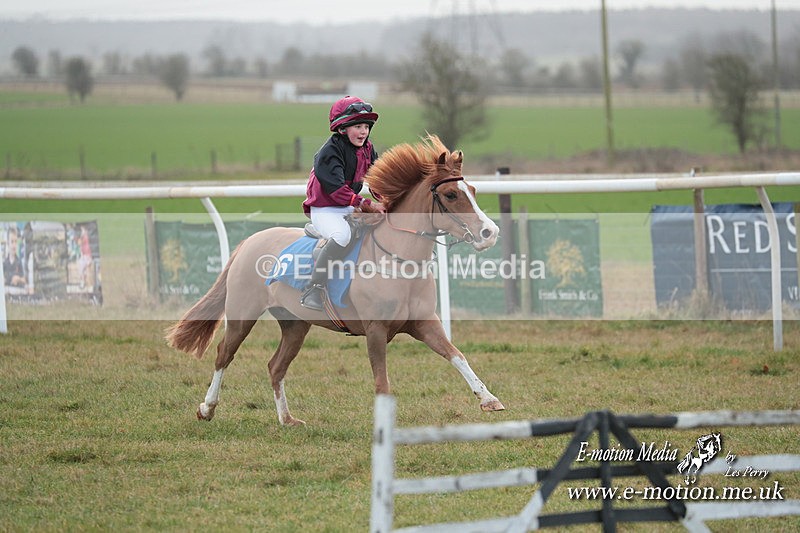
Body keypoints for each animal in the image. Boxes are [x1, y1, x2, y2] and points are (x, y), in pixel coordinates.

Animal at [165, 135, 505, 426]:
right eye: (451, 194)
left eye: (473, 191)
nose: (490, 233)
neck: (397, 260)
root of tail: (249, 241)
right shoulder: (375, 330)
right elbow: (382, 382)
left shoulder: (424, 323)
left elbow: (457, 355)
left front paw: (489, 399)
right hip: (242, 313)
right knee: (224, 354)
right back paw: (207, 408)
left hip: (295, 324)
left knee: (276, 366)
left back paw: (287, 419)